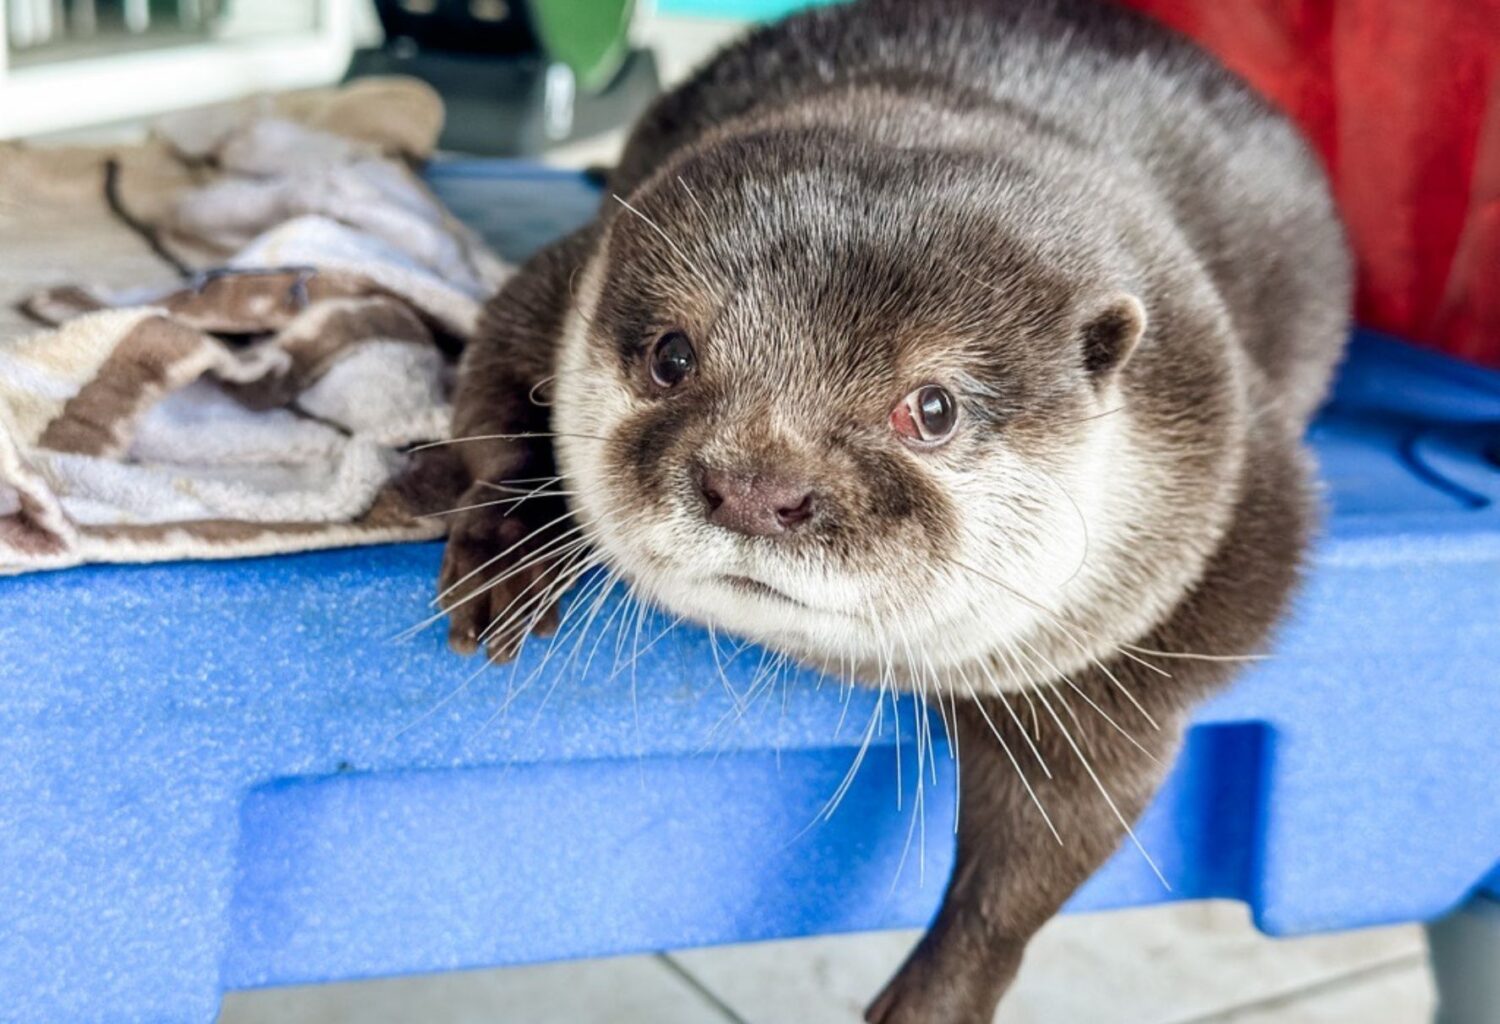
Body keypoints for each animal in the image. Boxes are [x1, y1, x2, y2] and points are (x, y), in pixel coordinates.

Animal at [437, 0, 1351, 1020]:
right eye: (672, 355)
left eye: (933, 407)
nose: (756, 489)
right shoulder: (564, 278)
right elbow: (492, 379)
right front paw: (508, 549)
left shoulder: (1154, 638)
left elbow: (1038, 854)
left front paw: (935, 994)